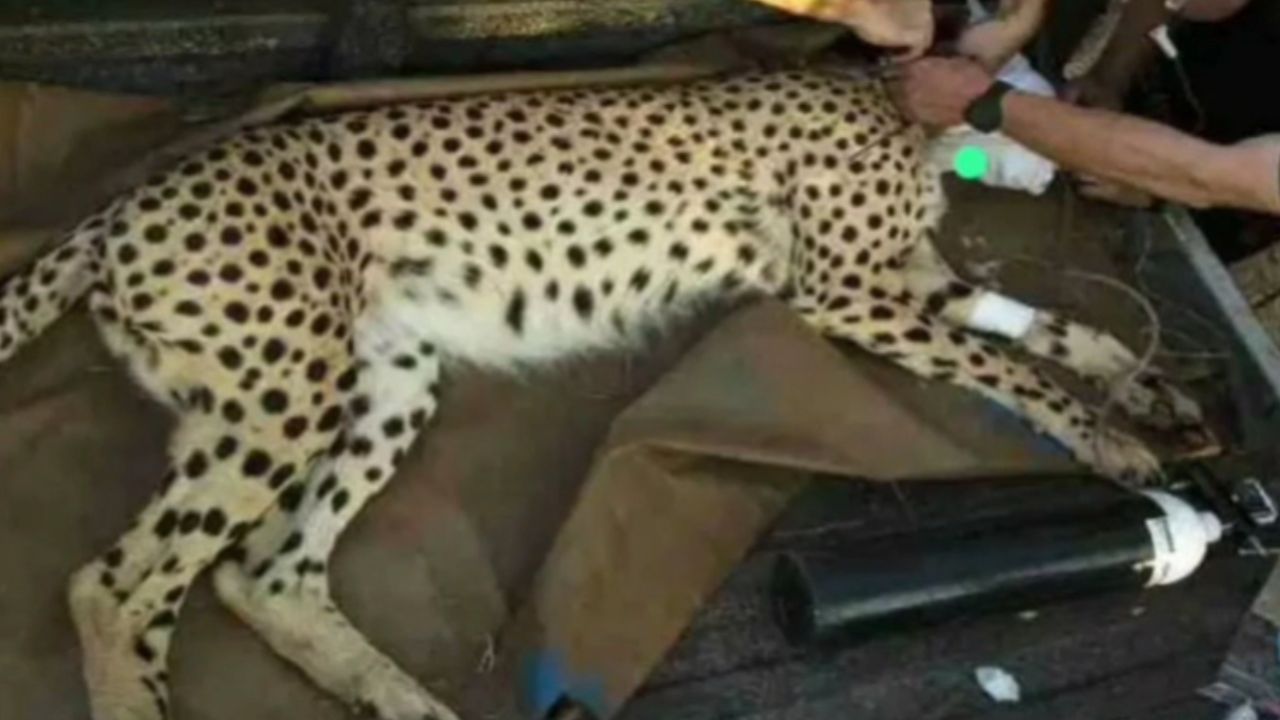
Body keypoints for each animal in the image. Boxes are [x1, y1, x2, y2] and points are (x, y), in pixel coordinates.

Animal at [0, 69, 1205, 720]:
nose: (1117, 165)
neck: (903, 106)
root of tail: (116, 208)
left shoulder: (910, 279)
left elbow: (1047, 328)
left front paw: (1149, 394)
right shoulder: (842, 293)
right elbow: (1009, 364)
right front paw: (1109, 440)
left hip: (385, 376)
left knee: (260, 575)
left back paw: (400, 696)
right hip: (288, 386)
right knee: (116, 585)